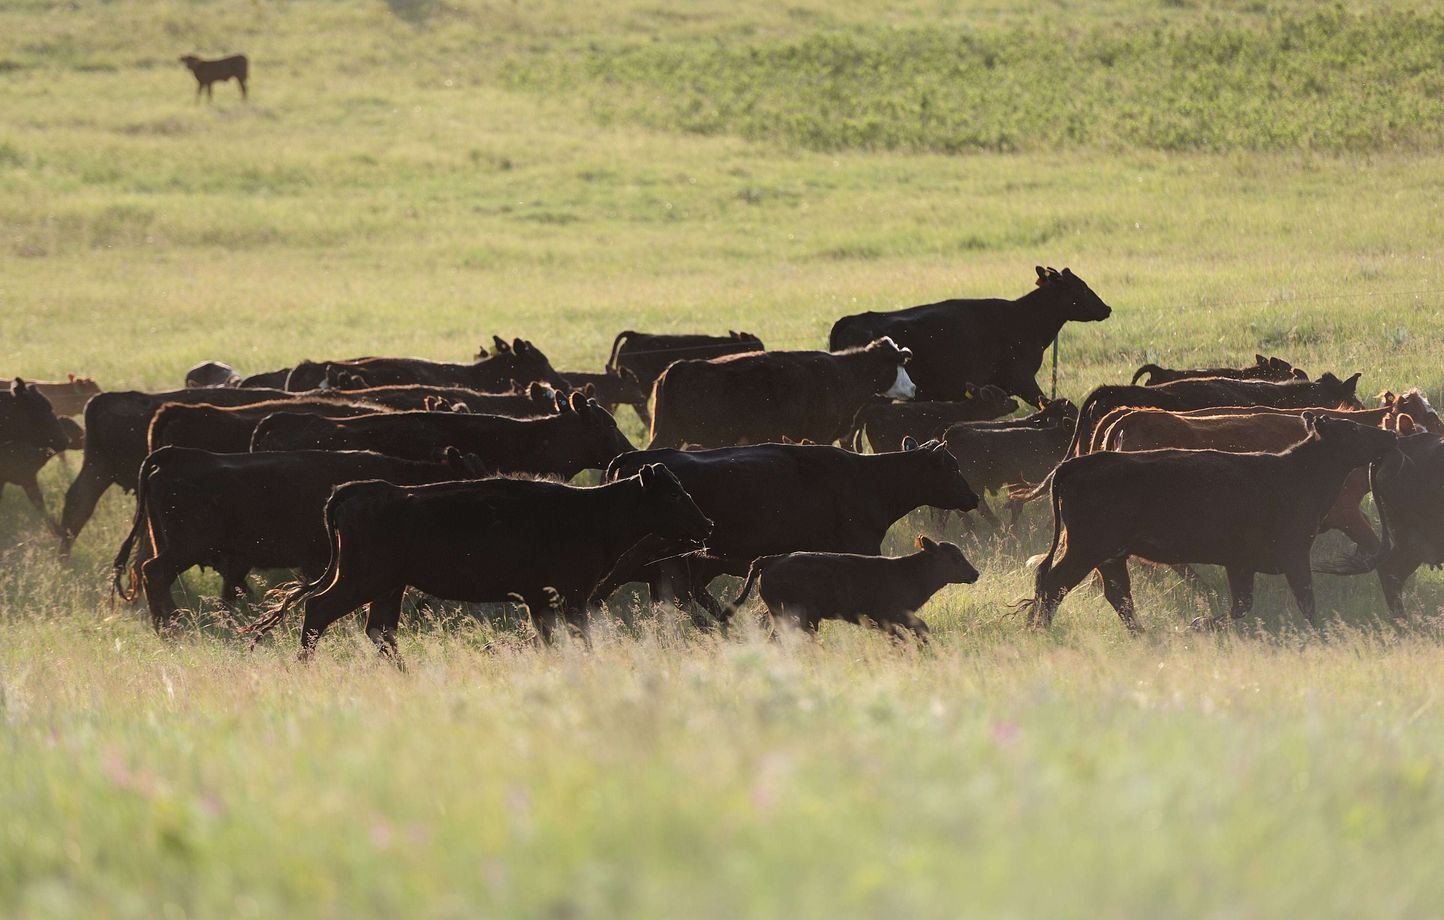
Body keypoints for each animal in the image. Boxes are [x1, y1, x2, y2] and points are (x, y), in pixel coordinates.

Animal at [652, 337, 912, 453]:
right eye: (899, 364)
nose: (913, 388)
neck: (846, 373)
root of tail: (678, 366)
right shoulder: (820, 436)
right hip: (671, 433)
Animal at [727, 531, 976, 638]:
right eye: (955, 557)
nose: (975, 573)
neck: (910, 571)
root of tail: (769, 560)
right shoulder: (887, 615)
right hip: (800, 616)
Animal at [1028, 415, 1397, 632]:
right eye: (1352, 428)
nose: (1390, 437)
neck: (1297, 474)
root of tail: (1075, 465)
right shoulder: (1294, 555)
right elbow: (1307, 603)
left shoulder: (1241, 563)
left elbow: (1242, 605)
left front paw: (1199, 624)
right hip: (1086, 548)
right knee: (1055, 585)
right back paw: (1041, 631)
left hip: (1110, 555)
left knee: (1117, 595)